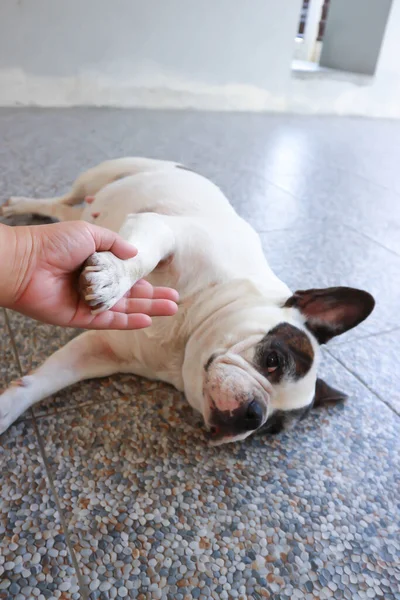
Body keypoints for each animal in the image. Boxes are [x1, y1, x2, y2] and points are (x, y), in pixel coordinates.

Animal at [0, 157, 376, 442]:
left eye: (270, 429)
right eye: (273, 360)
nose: (253, 415)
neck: (186, 336)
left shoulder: (99, 352)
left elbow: (41, 382)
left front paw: (7, 407)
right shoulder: (165, 231)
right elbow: (140, 256)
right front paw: (114, 276)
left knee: (59, 210)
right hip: (102, 174)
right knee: (65, 197)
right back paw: (20, 204)